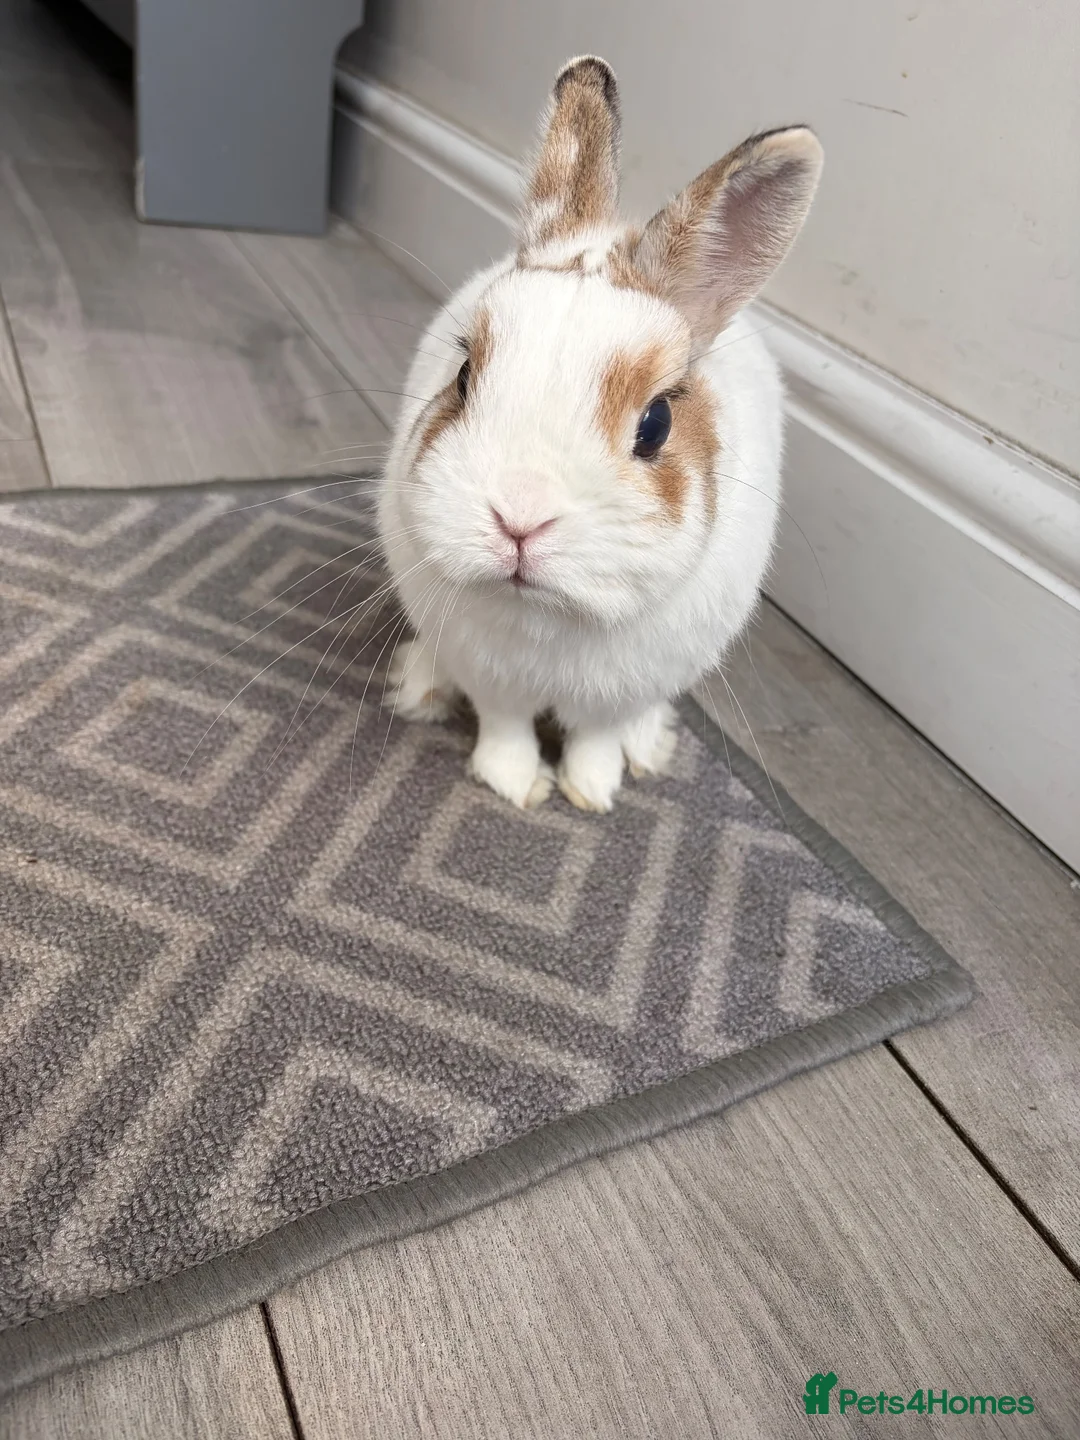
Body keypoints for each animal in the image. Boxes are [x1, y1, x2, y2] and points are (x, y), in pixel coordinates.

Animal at [377, 55, 822, 813]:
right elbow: (505, 727)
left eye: (656, 424)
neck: (548, 618)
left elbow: (595, 736)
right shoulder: (492, 675)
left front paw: (592, 791)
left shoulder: (621, 691)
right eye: (464, 375)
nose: (518, 519)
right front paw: (516, 787)